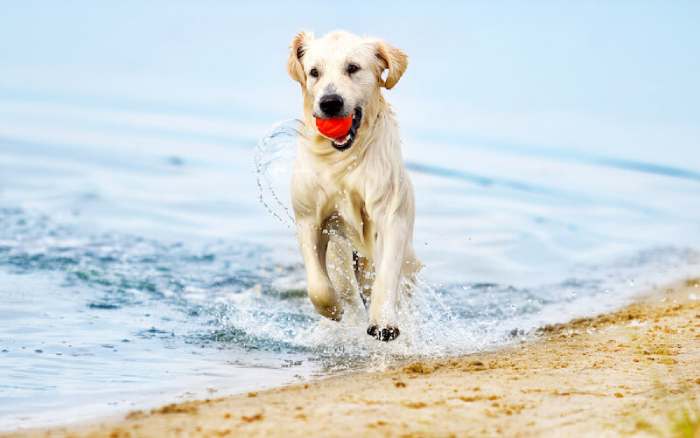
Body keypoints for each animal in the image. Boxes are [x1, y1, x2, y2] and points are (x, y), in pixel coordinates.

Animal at [286, 30, 418, 342]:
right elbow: (318, 284)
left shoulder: (391, 213)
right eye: (314, 72)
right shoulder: (309, 217)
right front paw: (333, 310)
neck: (343, 158)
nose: (330, 102)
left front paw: (383, 322)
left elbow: (387, 273)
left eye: (353, 68)